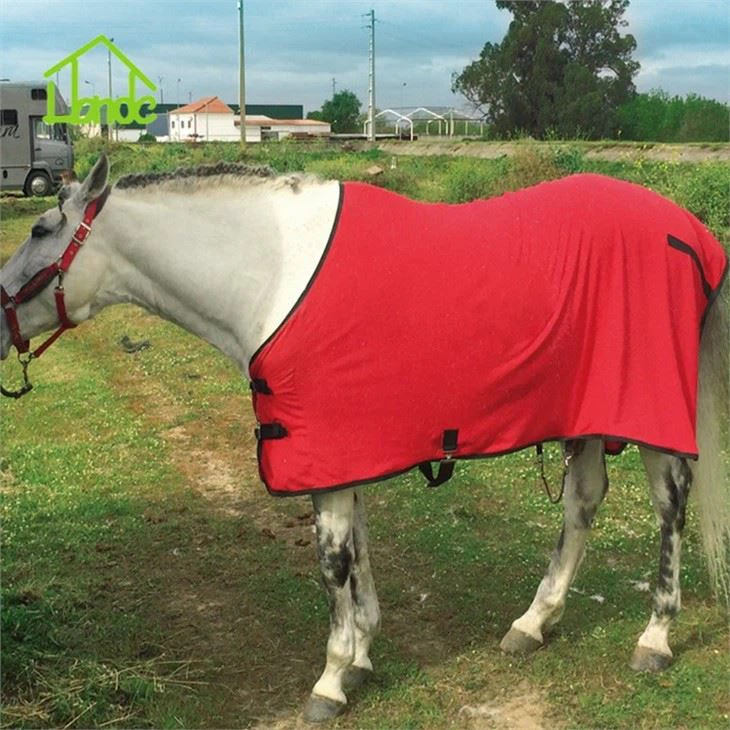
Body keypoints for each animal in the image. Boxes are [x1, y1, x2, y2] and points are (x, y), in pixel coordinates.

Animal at [1, 154, 728, 723]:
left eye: (40, 229)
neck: (272, 273)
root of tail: (690, 232)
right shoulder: (344, 451)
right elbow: (361, 552)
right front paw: (360, 657)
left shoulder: (322, 453)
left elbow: (333, 564)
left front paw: (330, 679)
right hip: (588, 412)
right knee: (582, 504)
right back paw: (532, 622)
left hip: (647, 410)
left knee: (670, 507)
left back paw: (655, 636)